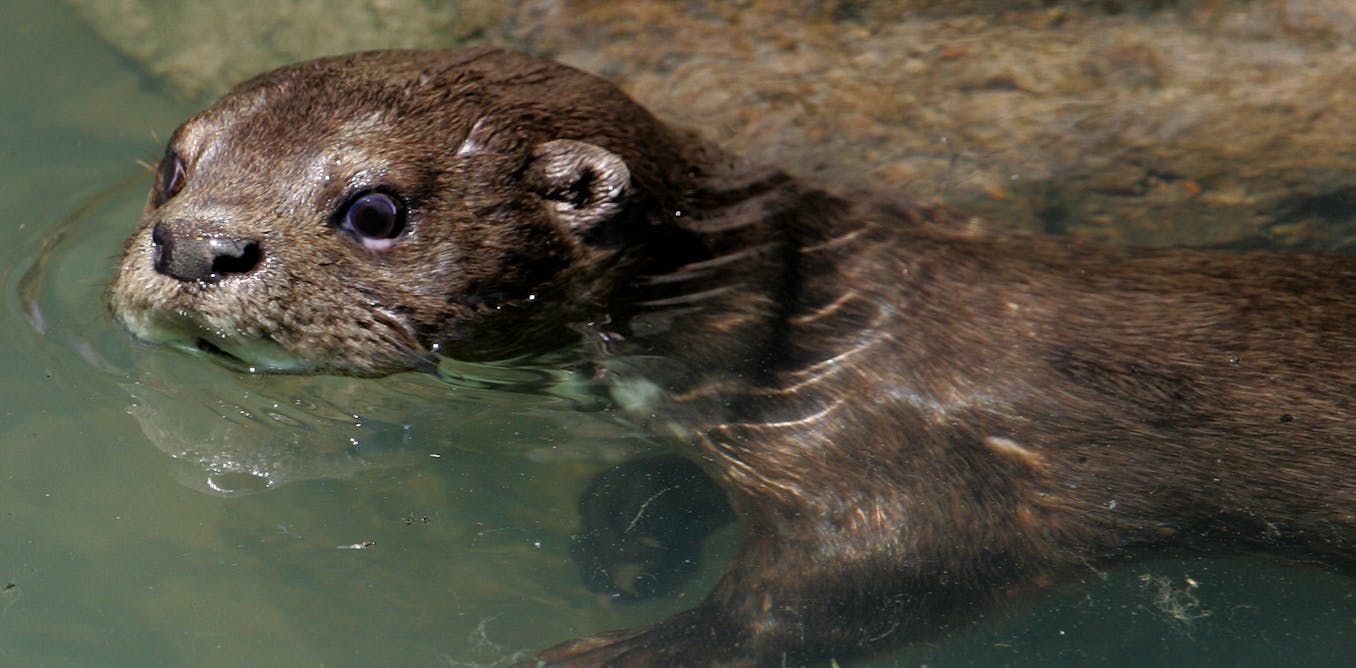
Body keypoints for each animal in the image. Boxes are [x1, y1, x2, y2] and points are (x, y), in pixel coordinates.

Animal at [109, 48, 1356, 666]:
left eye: (375, 209)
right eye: (174, 161)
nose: (195, 244)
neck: (801, 328)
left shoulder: (906, 478)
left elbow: (834, 598)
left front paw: (599, 652)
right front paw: (627, 528)